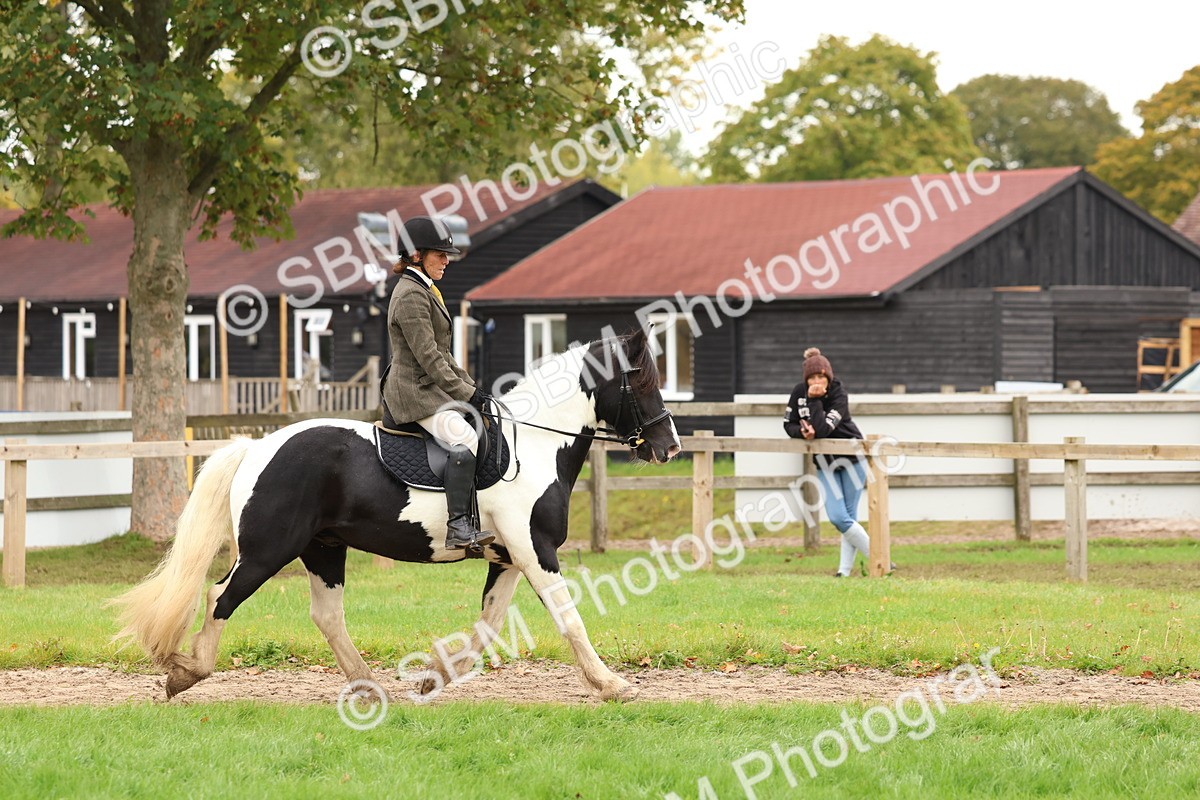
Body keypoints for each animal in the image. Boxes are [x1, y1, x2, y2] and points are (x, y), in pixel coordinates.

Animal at [112, 328, 681, 702]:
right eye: (642, 383)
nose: (669, 446)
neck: (536, 444)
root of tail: (257, 447)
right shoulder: (534, 550)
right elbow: (569, 616)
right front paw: (612, 684)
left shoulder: (508, 557)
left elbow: (489, 624)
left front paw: (434, 678)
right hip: (268, 550)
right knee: (219, 598)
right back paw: (187, 673)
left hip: (323, 548)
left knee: (327, 615)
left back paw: (370, 687)